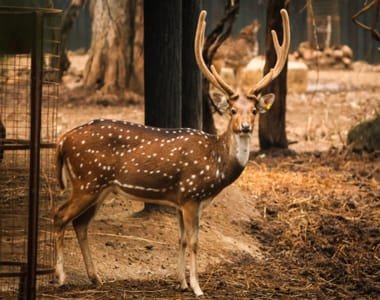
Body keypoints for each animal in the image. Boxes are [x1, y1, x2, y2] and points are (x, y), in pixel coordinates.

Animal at [54, 8, 290, 296]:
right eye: (233, 110)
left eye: (254, 110)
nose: (245, 127)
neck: (217, 163)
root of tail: (63, 140)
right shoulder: (190, 194)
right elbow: (194, 242)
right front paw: (197, 288)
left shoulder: (179, 200)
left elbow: (180, 240)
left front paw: (181, 282)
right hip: (87, 180)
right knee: (60, 216)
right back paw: (61, 277)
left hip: (100, 188)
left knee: (80, 224)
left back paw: (95, 277)